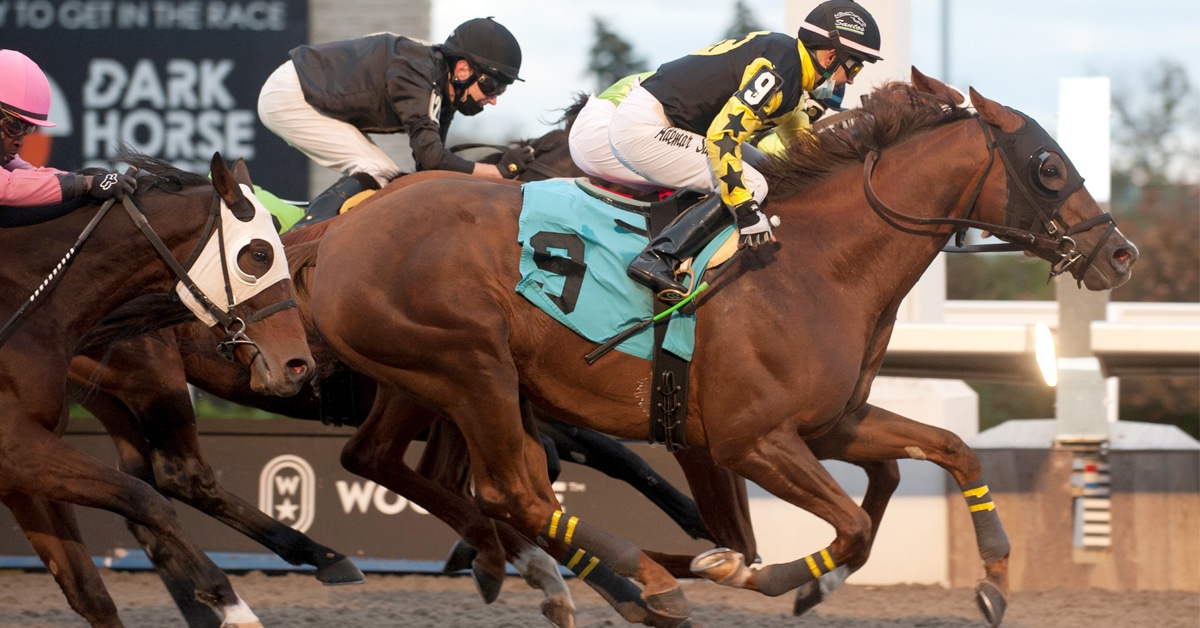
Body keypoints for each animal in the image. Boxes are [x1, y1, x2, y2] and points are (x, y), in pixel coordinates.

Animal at [0, 150, 316, 628]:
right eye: (259, 254)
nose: (298, 366)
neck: (26, 301)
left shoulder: (26, 465)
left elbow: (90, 592)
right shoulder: (16, 447)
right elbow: (146, 498)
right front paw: (230, 604)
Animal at [306, 69, 1138, 627]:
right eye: (1049, 166)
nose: (1120, 254)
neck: (818, 265)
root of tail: (342, 227)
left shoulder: (830, 423)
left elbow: (947, 452)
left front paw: (994, 576)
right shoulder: (749, 439)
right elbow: (849, 525)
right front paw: (762, 577)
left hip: (421, 378)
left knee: (386, 462)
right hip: (474, 368)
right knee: (515, 491)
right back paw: (636, 580)